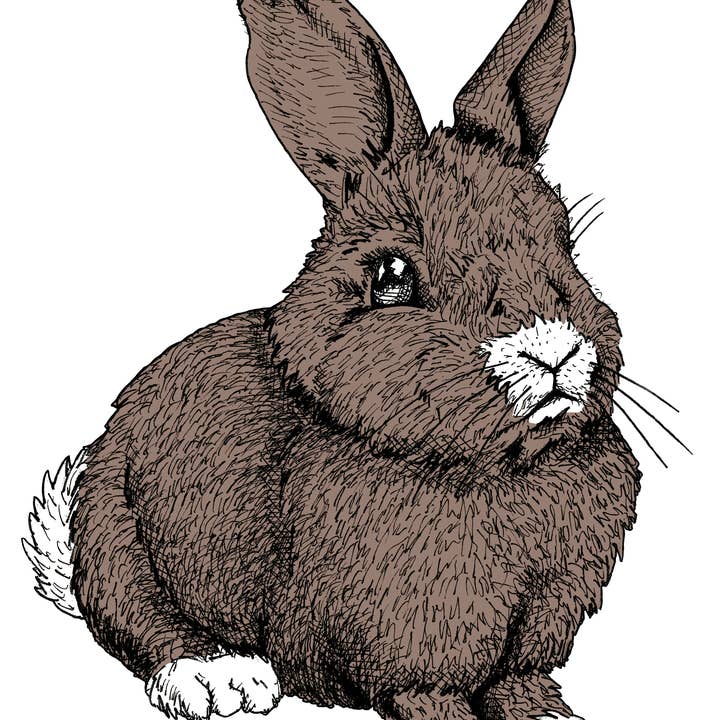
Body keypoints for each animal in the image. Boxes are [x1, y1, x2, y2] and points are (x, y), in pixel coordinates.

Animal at [23, 1, 641, 719]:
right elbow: (426, 692)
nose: (554, 348)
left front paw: (548, 711)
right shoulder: (409, 642)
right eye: (392, 276)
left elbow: (518, 680)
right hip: (114, 529)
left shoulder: (538, 623)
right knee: (142, 618)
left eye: (566, 246)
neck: (501, 469)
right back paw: (221, 680)